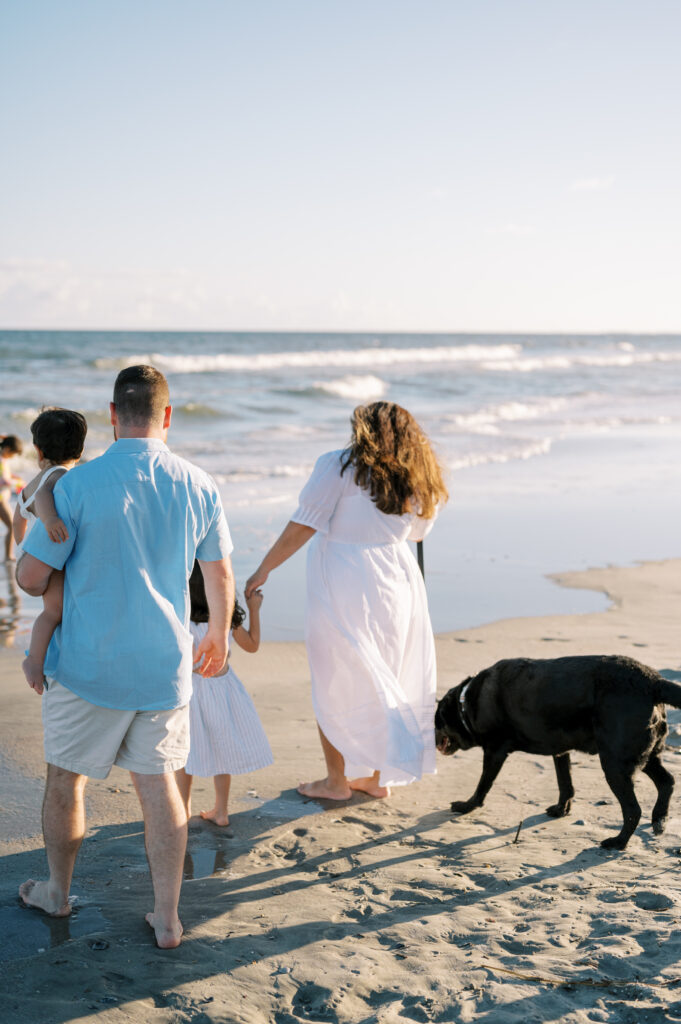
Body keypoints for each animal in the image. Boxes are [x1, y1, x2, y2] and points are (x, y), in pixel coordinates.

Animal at [432, 655, 679, 847]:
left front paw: (467, 806)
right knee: (667, 781)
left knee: (633, 809)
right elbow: (565, 783)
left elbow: (483, 784)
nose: (432, 740)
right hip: (644, 755)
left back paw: (618, 842)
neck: (467, 702)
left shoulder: (494, 751)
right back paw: (659, 819)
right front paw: (562, 809)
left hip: (615, 764)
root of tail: (652, 681)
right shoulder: (560, 751)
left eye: (436, 721)